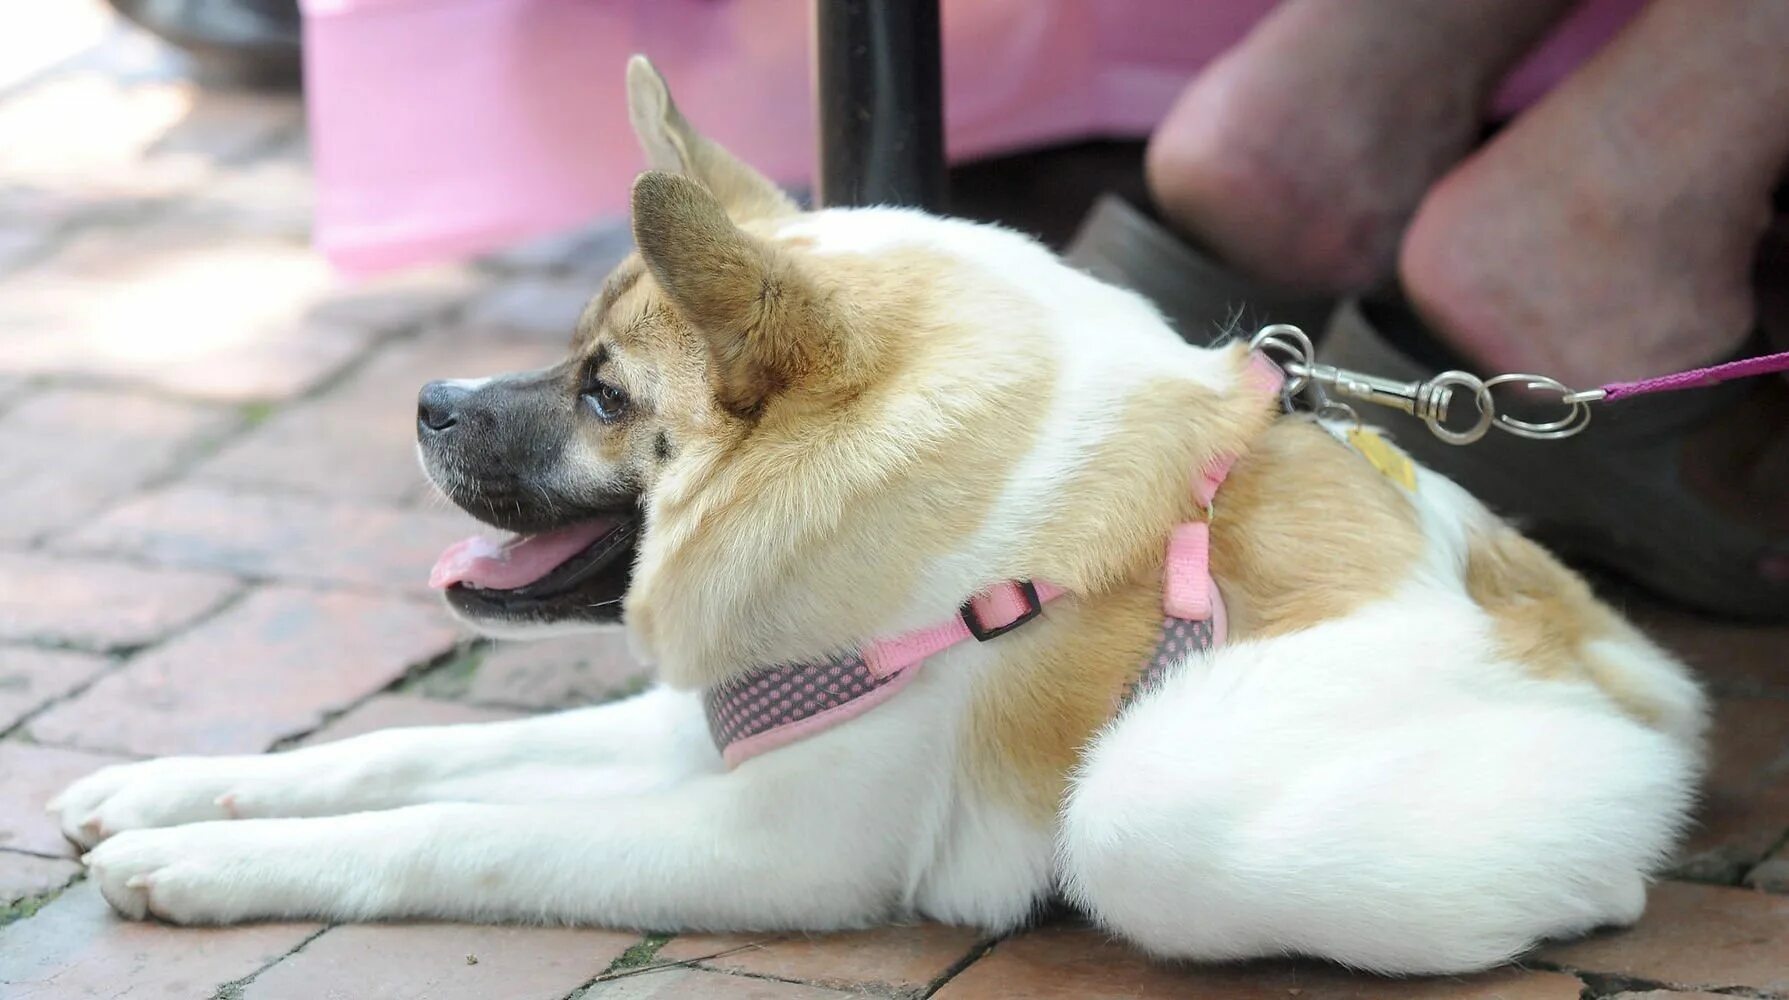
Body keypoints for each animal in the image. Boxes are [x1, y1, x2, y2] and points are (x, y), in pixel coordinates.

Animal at [52, 56, 1703, 980]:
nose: (428, 401)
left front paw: (203, 868)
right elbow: (408, 754)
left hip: (1158, 811)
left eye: (605, 396)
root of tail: (1641, 690)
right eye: (571, 358)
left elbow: (463, 834)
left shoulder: (769, 846)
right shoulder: (707, 724)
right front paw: (178, 794)